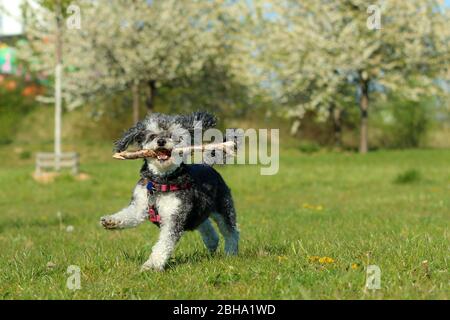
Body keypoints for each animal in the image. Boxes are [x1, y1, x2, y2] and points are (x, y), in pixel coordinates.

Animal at [99, 111, 239, 272]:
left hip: (224, 207)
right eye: (152, 136)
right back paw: (212, 242)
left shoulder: (174, 216)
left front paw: (152, 265)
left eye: (173, 135)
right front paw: (111, 221)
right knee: (205, 224)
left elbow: (163, 244)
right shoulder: (140, 205)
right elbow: (128, 215)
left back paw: (231, 252)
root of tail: (208, 165)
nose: (161, 141)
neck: (160, 181)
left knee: (231, 231)